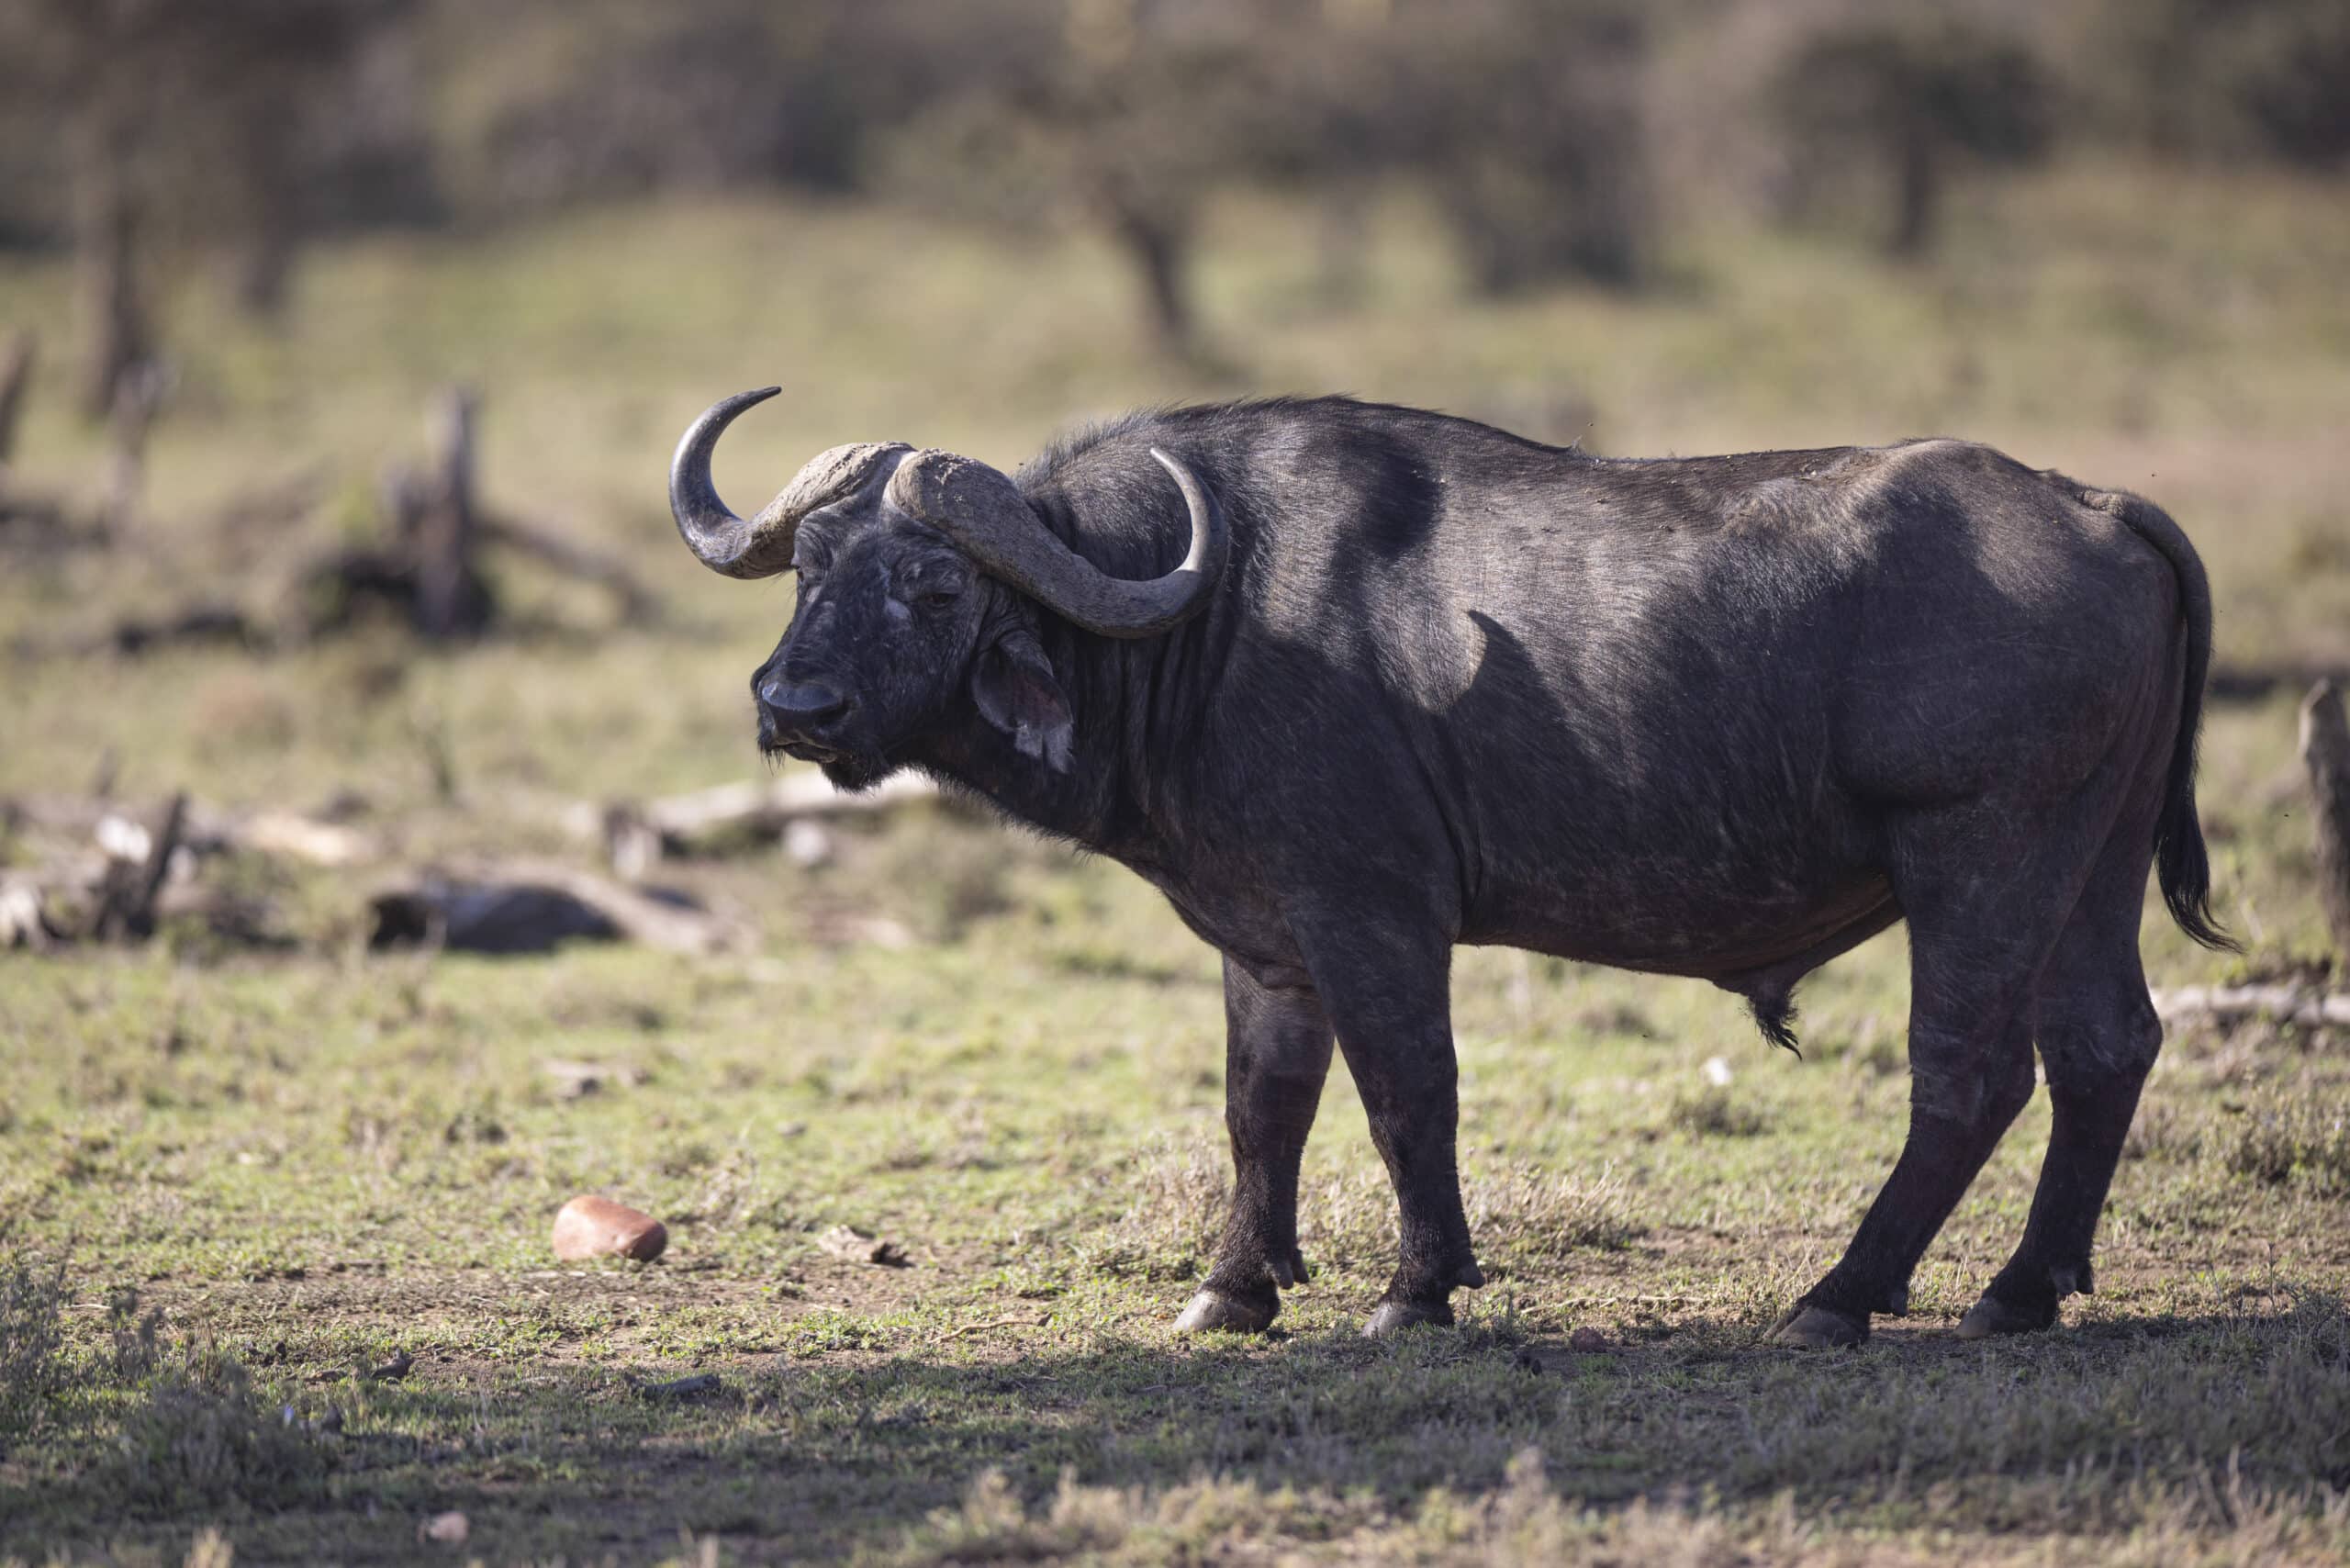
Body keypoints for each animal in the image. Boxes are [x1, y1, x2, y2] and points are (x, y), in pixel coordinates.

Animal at [662, 385, 2218, 1344]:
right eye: (813, 571)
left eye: (932, 586)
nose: (794, 707)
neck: (1208, 613)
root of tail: (2097, 504)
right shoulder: (1266, 939)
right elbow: (1262, 1108)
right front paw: (1232, 1290)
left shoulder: (1373, 914)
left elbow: (1408, 1091)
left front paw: (1417, 1291)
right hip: (2092, 868)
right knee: (2105, 1047)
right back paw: (2023, 1288)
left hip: (1982, 858)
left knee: (1970, 1075)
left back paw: (1841, 1293)